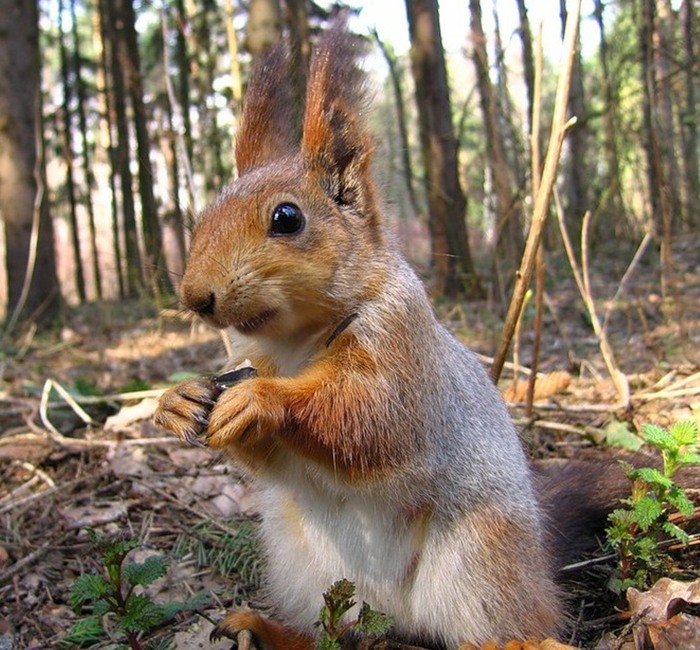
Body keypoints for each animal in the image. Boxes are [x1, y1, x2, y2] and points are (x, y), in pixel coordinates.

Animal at [153, 22, 616, 648]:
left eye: (287, 218)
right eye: (202, 217)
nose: (196, 297)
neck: (293, 342)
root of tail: (395, 615)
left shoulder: (402, 345)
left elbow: (370, 417)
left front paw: (261, 400)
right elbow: (271, 460)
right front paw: (177, 399)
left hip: (482, 556)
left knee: (505, 624)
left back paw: (527, 637)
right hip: (301, 562)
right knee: (330, 633)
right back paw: (263, 627)